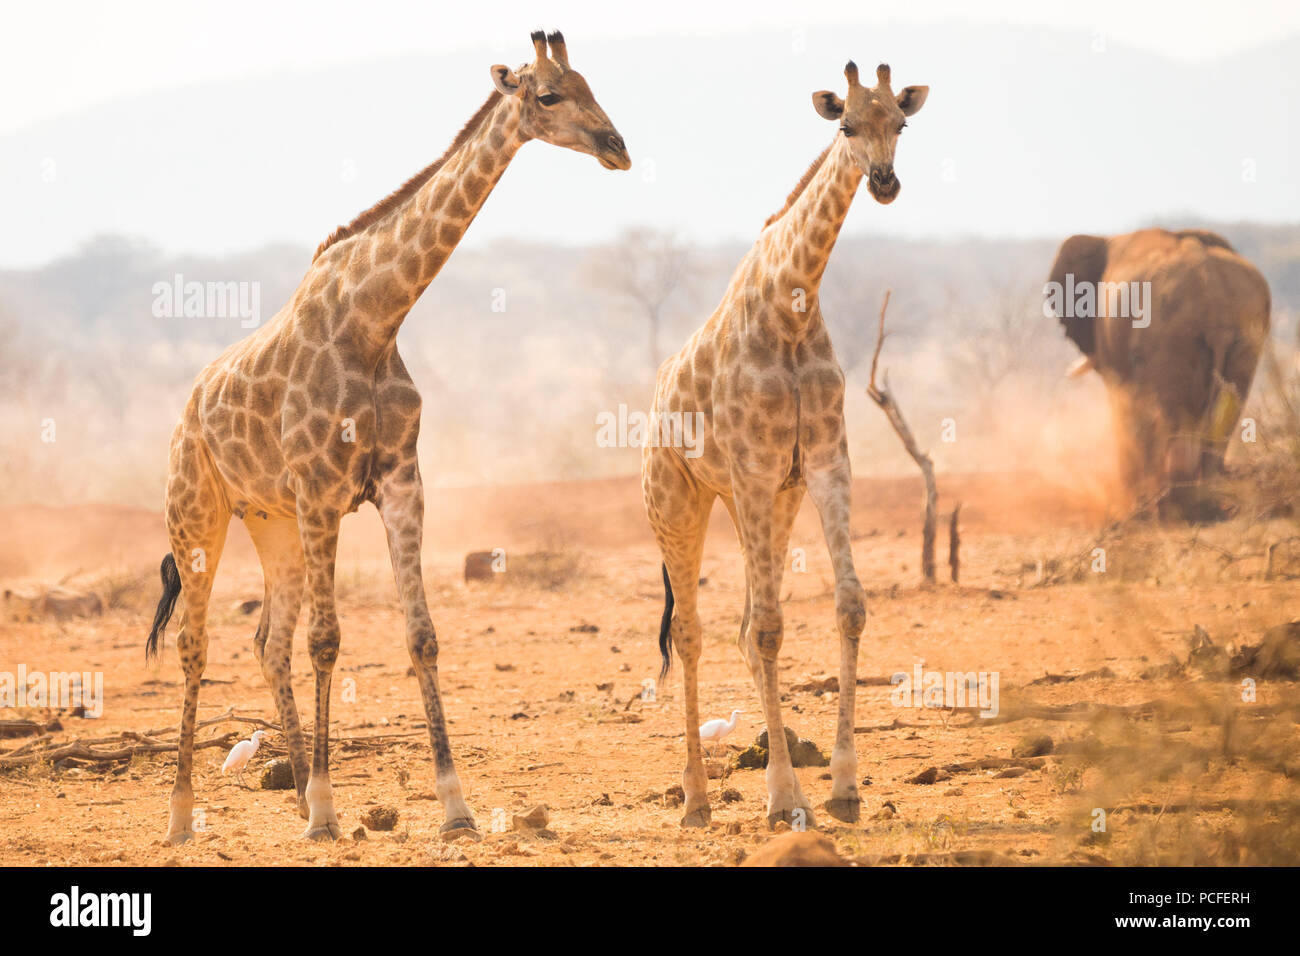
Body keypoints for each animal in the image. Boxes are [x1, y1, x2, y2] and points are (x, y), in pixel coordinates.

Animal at [142, 29, 629, 842]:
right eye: (548, 94)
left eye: (594, 84)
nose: (617, 147)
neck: (373, 322)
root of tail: (185, 413)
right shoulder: (321, 490)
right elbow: (329, 641)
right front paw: (327, 813)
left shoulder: (400, 483)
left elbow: (420, 635)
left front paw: (455, 809)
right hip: (199, 513)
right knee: (195, 643)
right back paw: (183, 818)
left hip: (272, 523)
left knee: (266, 641)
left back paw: (294, 790)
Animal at [639, 61, 925, 832]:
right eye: (845, 124)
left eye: (901, 123)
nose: (884, 181)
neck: (794, 304)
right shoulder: (755, 468)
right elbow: (768, 630)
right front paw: (781, 799)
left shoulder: (822, 466)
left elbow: (847, 607)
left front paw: (844, 787)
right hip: (681, 502)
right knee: (696, 633)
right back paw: (696, 800)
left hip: (766, 502)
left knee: (740, 625)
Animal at [1045, 228, 1268, 520]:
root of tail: (1214, 298)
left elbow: (1124, 407)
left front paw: (1131, 512)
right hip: (1244, 339)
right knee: (1224, 413)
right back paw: (1204, 504)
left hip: (1169, 337)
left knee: (1172, 414)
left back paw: (1171, 508)